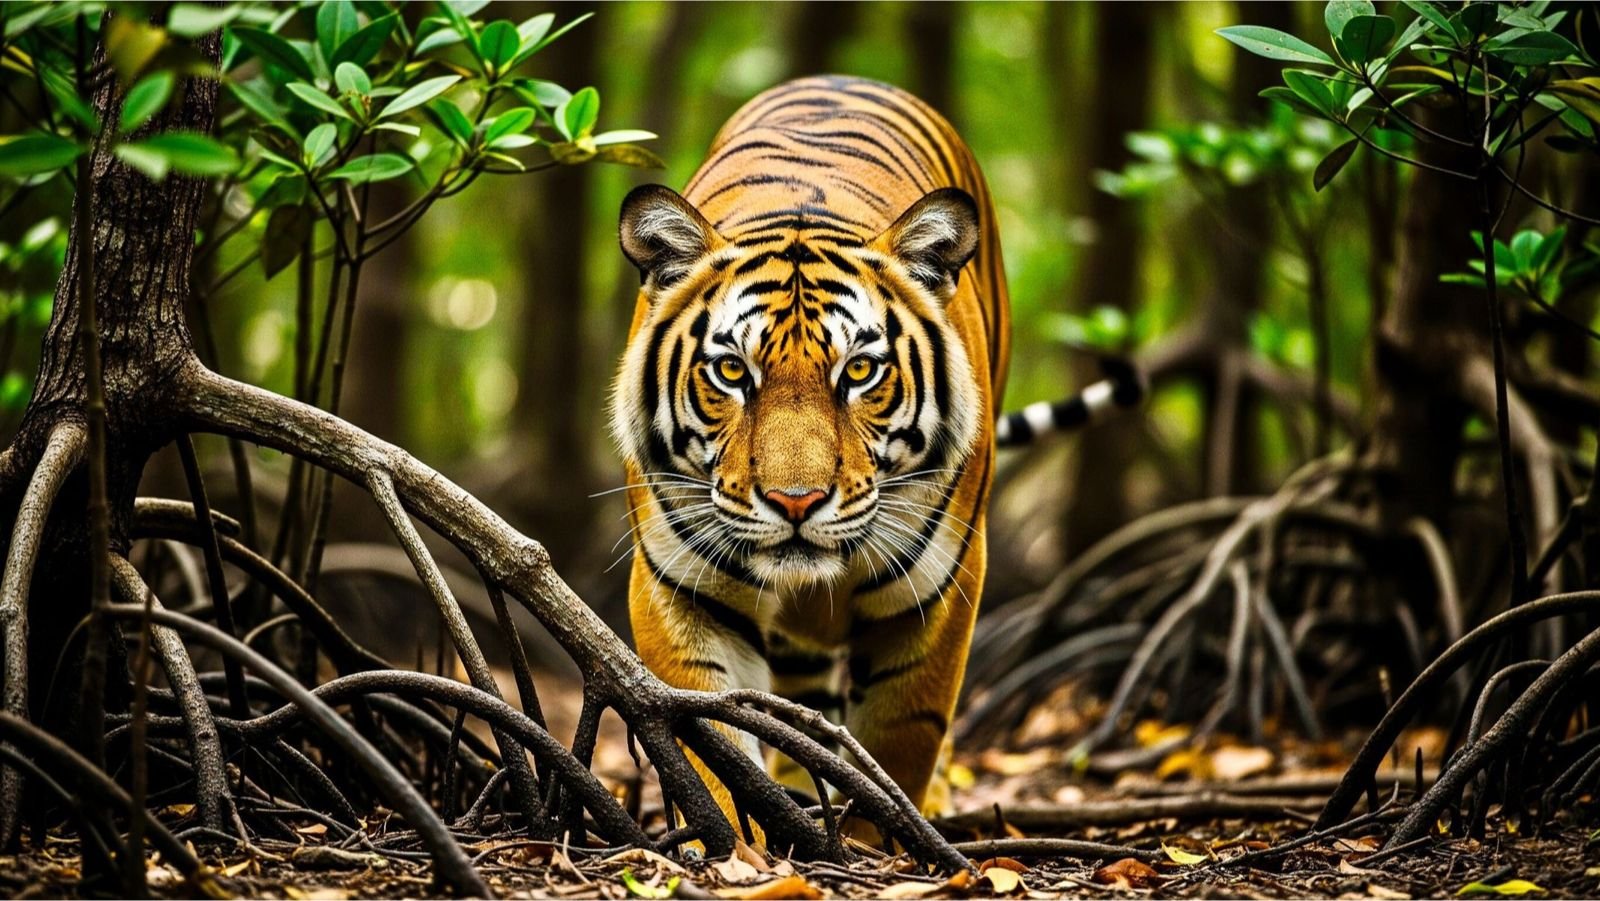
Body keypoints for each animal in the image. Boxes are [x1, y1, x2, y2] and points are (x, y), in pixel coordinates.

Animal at [609, 75, 1141, 839]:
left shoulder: (939, 589)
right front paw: (742, 847)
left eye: (859, 371)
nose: (795, 502)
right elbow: (714, 741)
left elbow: (898, 740)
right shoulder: (680, 585)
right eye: (733, 371)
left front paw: (878, 842)